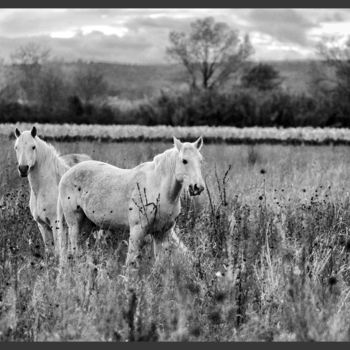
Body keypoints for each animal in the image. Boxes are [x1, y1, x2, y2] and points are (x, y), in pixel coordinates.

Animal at [13, 127, 91, 256]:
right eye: (16, 147)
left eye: (33, 147)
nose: (23, 169)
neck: (42, 189)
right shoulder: (42, 226)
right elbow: (49, 251)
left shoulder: (55, 223)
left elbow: (58, 251)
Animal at [57, 137, 205, 268]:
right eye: (184, 161)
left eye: (200, 161)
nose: (198, 187)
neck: (157, 188)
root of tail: (66, 174)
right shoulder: (137, 230)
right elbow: (131, 262)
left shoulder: (162, 234)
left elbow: (159, 264)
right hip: (74, 224)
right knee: (75, 252)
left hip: (87, 225)